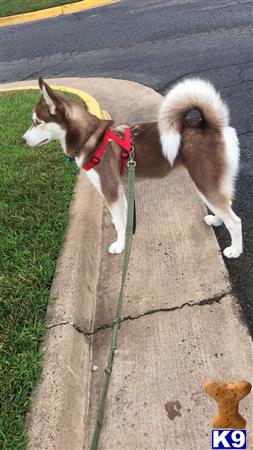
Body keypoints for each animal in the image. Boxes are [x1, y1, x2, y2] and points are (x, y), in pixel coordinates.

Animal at [22, 76, 242, 256]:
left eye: (37, 122)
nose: (22, 140)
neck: (90, 138)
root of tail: (211, 125)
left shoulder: (110, 189)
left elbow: (119, 223)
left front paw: (119, 245)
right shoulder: (120, 188)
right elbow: (123, 216)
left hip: (204, 181)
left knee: (235, 221)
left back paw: (234, 250)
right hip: (209, 182)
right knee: (227, 204)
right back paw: (217, 220)